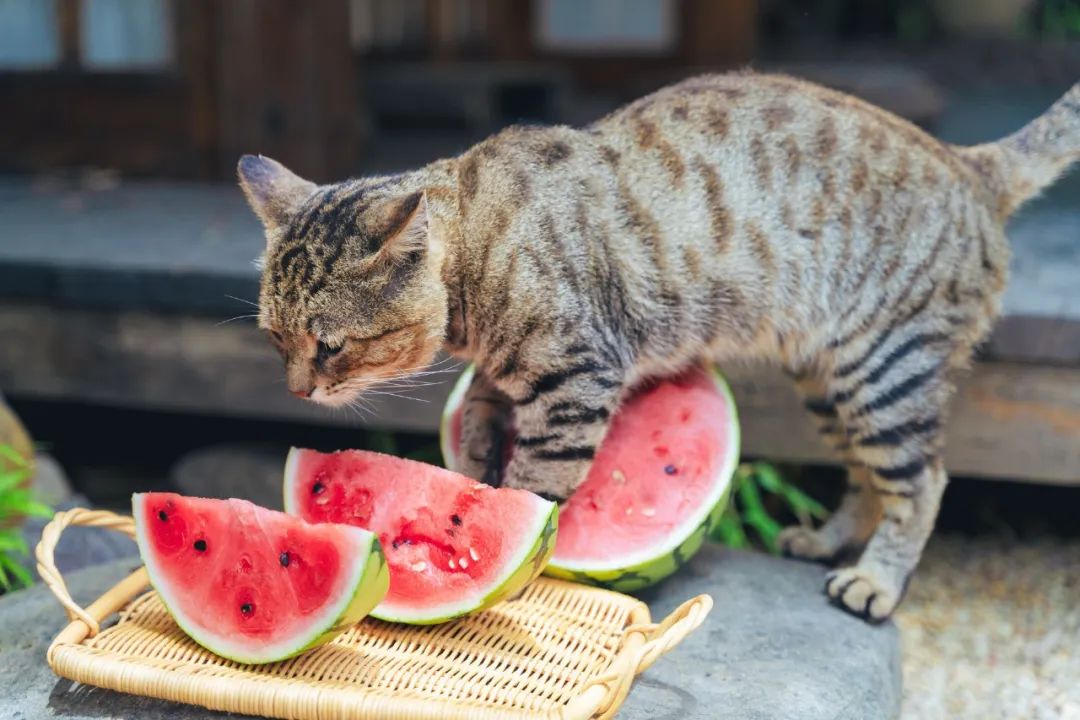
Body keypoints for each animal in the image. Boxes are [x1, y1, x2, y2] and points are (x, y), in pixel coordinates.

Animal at [240, 74, 1080, 626]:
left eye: (329, 346)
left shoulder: (577, 379)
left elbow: (539, 487)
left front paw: (513, 528)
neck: (479, 261)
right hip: (830, 383)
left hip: (882, 372)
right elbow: (481, 410)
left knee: (923, 482)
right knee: (868, 477)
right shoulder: (512, 371)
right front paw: (476, 463)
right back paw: (827, 541)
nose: (297, 392)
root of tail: (968, 163)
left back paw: (874, 580)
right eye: (274, 339)